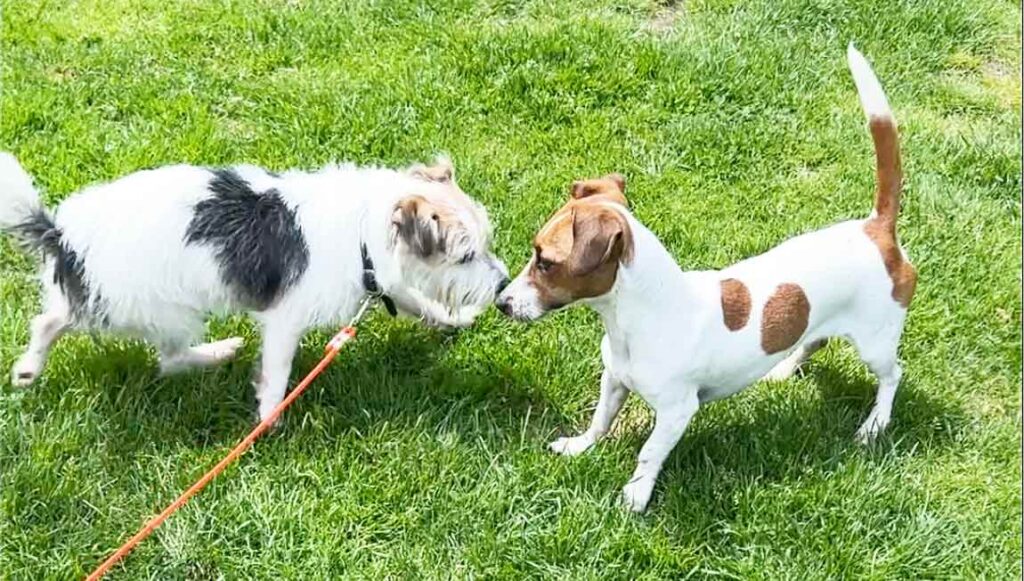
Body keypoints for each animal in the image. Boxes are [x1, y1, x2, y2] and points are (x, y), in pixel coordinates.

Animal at [1, 154, 507, 422]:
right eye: (465, 256)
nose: (502, 284)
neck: (365, 226)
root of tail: (62, 236)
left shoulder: (384, 278)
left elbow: (416, 301)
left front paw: (452, 320)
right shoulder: (285, 317)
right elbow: (278, 369)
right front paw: (269, 417)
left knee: (60, 318)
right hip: (158, 307)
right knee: (163, 356)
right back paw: (218, 351)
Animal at [495, 45, 913, 512]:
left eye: (545, 261)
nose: (501, 302)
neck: (635, 319)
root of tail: (877, 228)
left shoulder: (678, 411)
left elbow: (649, 452)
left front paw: (636, 496)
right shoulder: (614, 380)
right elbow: (601, 419)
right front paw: (579, 447)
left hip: (875, 343)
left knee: (892, 376)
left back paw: (874, 426)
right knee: (814, 340)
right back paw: (783, 370)